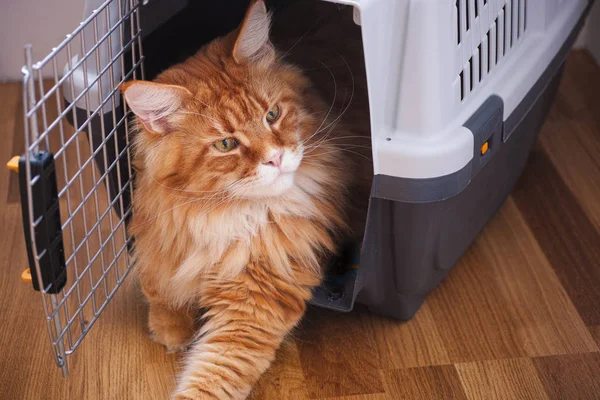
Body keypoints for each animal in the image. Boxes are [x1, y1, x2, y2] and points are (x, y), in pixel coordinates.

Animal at [122, 1, 370, 398]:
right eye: (226, 144)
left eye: (272, 114)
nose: (276, 158)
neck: (222, 216)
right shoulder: (158, 230)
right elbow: (155, 281)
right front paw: (171, 329)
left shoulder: (254, 302)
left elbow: (211, 376)